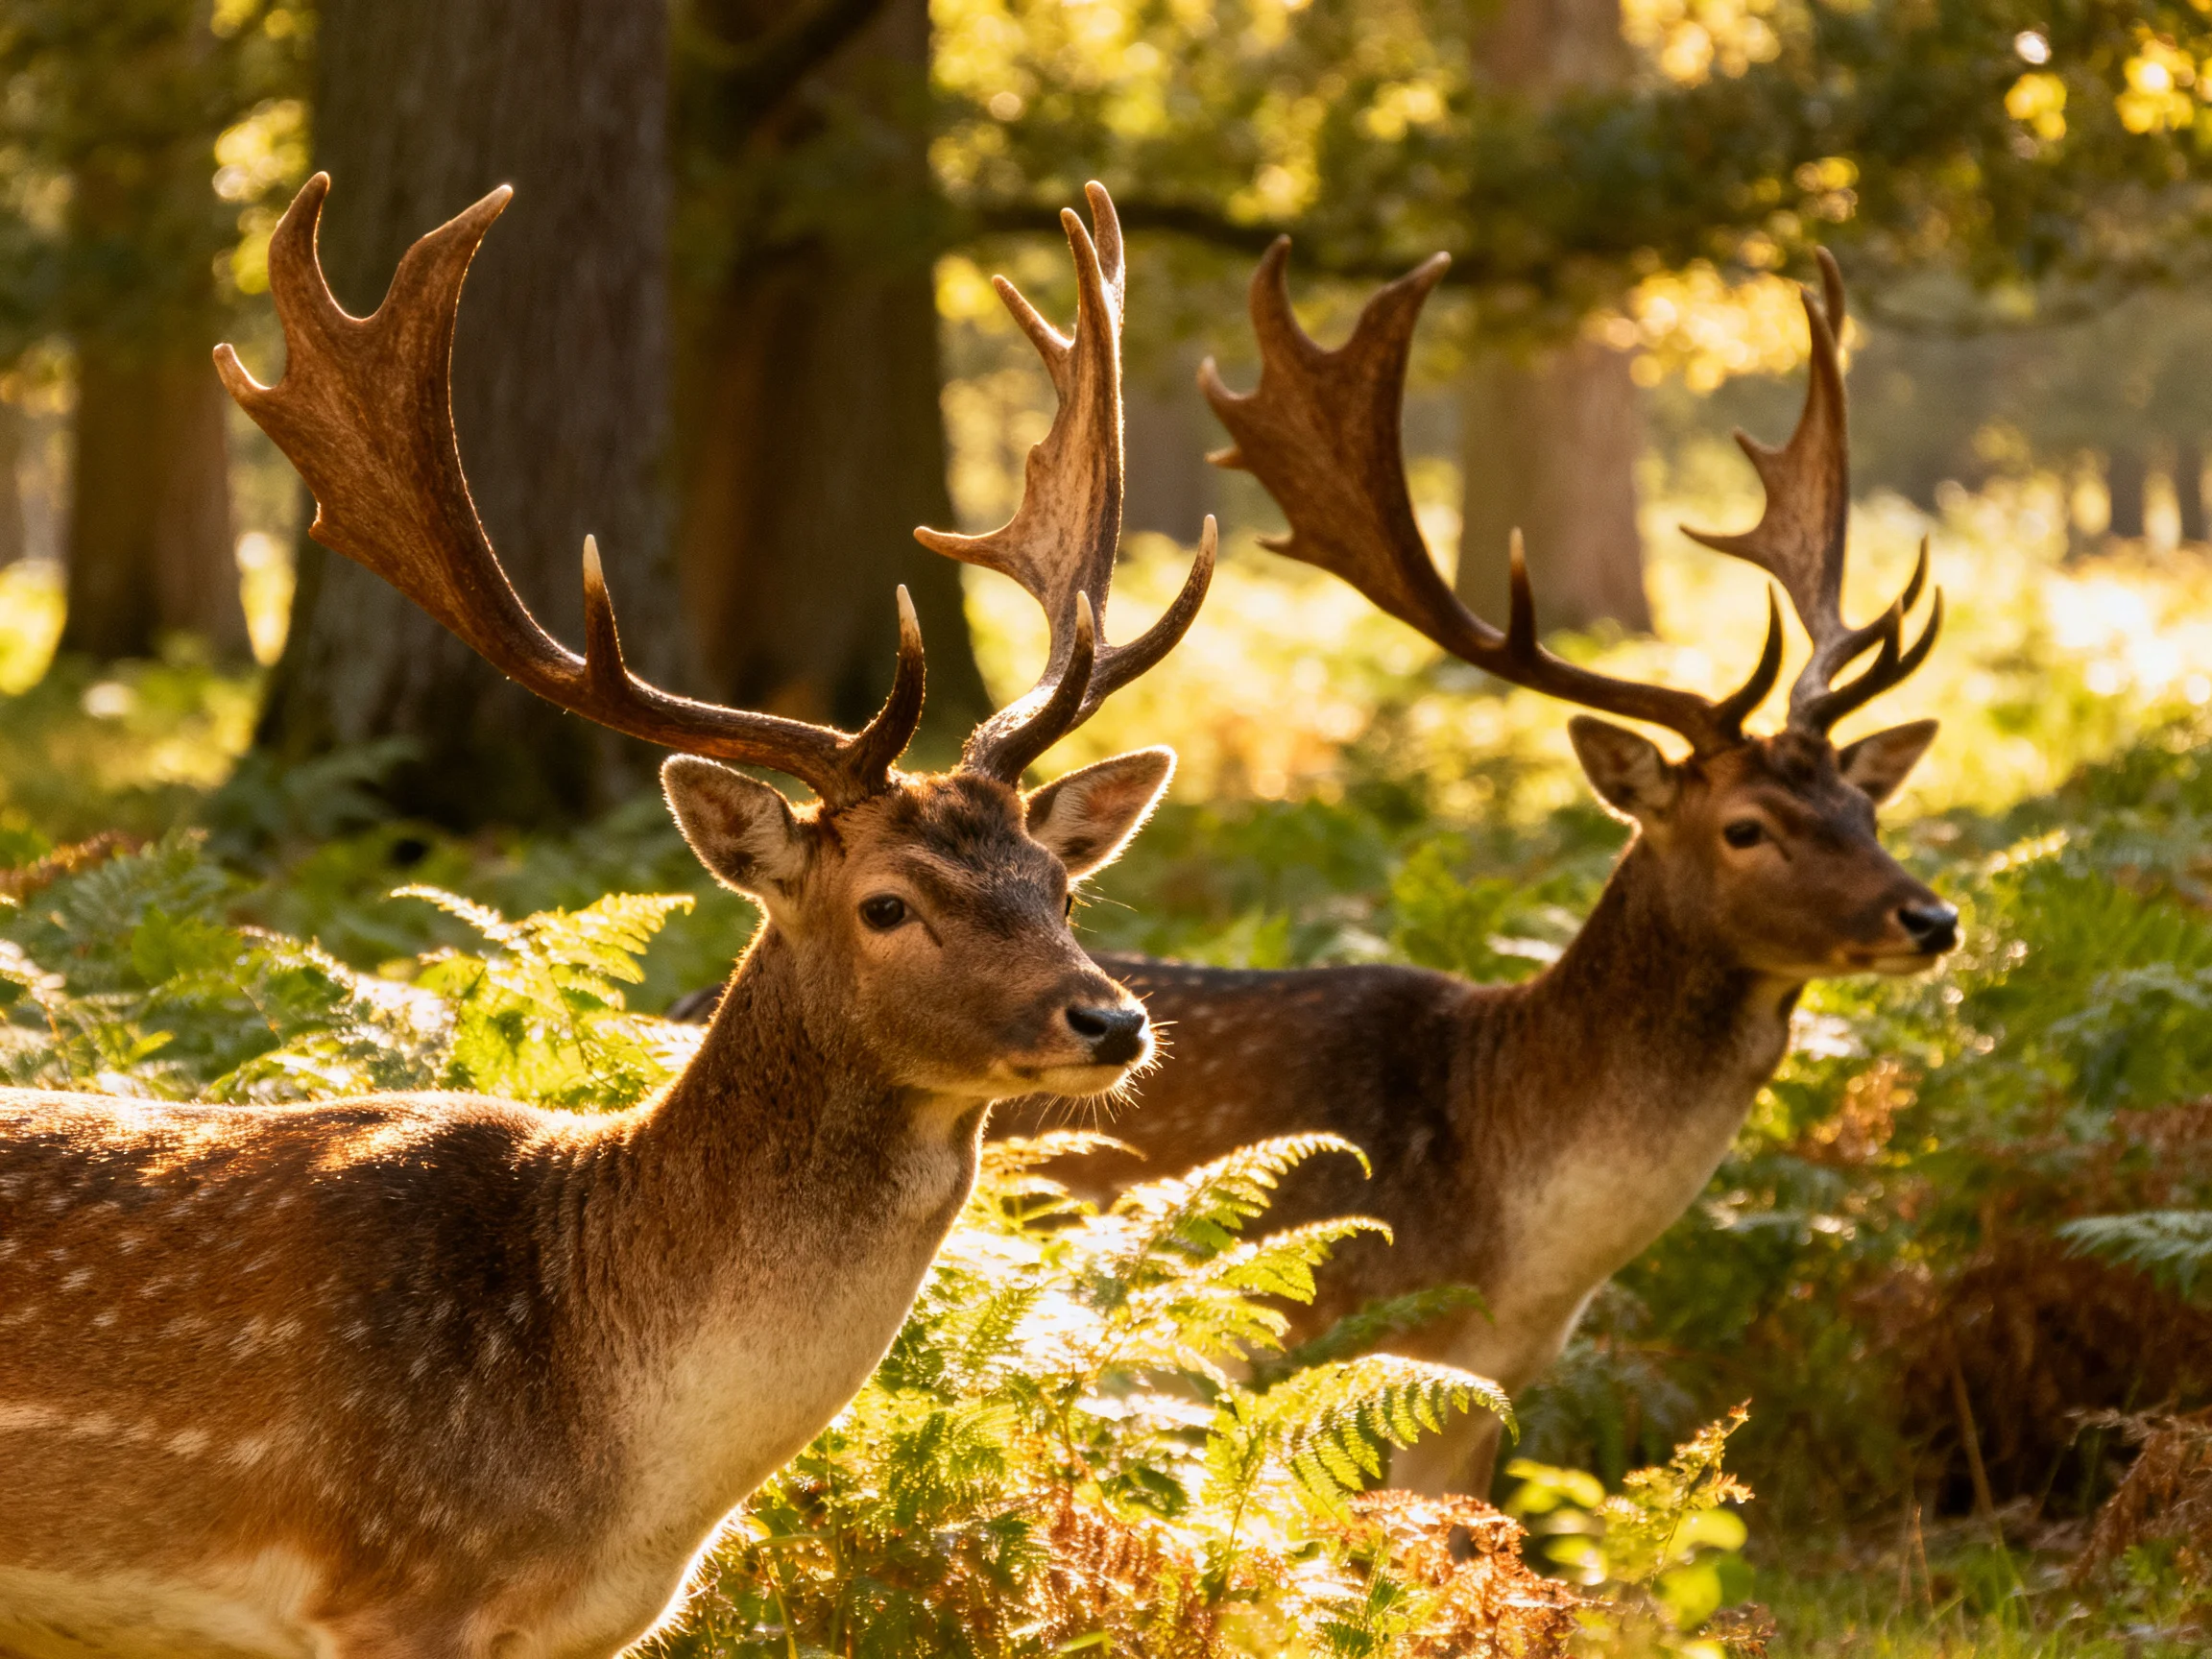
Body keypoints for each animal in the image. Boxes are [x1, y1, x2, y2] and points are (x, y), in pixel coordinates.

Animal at [1000, 241, 1958, 1496]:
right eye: (1747, 828)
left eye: (1864, 805)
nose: (1929, 918)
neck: (1514, 1251)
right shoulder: (1339, 1340)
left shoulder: (1479, 1395)